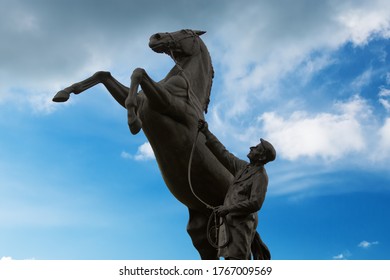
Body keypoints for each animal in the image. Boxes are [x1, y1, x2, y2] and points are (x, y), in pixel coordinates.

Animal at [51, 29, 266, 260]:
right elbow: (105, 74)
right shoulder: (145, 98)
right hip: (204, 227)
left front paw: (133, 122)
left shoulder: (167, 104)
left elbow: (139, 72)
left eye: (185, 31)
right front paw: (62, 93)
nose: (155, 37)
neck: (186, 88)